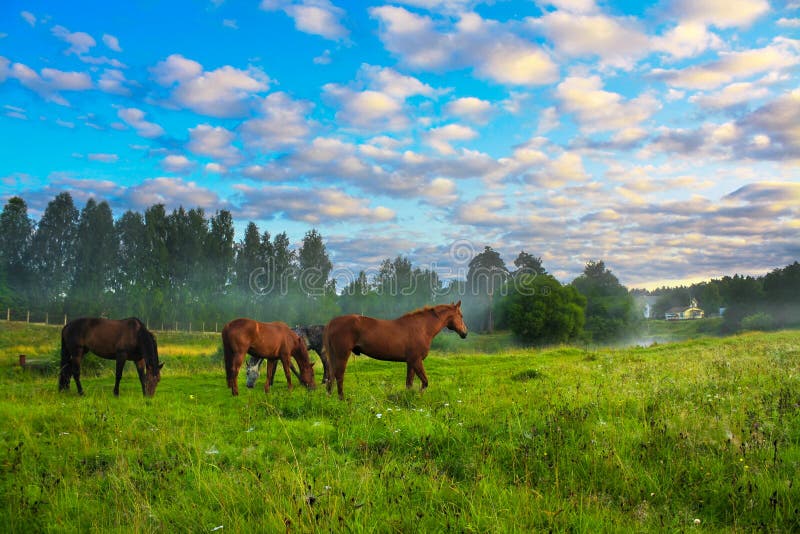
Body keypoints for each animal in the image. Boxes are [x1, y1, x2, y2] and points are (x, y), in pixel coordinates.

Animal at [324, 304, 468, 400]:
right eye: (461, 315)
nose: (465, 333)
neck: (422, 328)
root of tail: (332, 322)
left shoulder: (411, 362)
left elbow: (409, 383)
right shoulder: (416, 361)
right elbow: (425, 382)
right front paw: (419, 397)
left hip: (334, 356)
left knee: (331, 376)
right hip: (342, 355)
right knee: (339, 376)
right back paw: (342, 399)